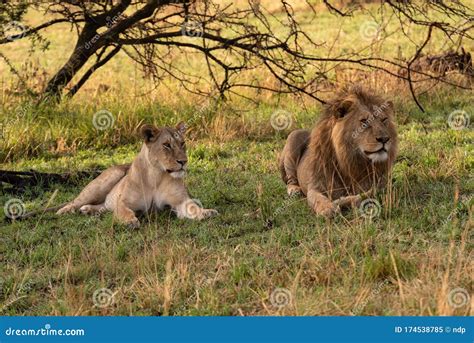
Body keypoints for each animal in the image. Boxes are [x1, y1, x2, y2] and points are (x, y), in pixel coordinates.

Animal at [56, 122, 218, 227]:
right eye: (166, 145)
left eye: (182, 143)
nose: (184, 161)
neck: (156, 175)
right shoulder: (123, 201)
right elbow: (123, 211)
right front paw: (130, 221)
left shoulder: (180, 202)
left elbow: (192, 207)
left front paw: (206, 212)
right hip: (107, 180)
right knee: (75, 201)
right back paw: (64, 211)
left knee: (103, 206)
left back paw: (88, 210)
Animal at [280, 85, 398, 218]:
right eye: (364, 121)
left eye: (384, 120)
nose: (384, 139)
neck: (349, 159)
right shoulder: (315, 185)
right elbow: (318, 198)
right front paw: (327, 208)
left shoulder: (385, 184)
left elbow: (366, 194)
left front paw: (339, 201)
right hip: (294, 136)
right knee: (290, 179)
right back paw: (294, 190)